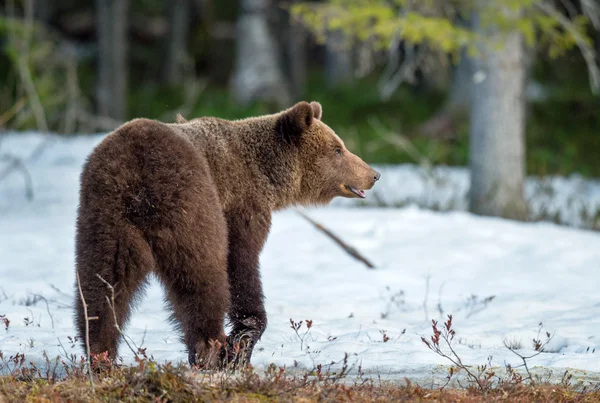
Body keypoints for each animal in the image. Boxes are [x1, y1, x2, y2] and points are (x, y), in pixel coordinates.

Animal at [74, 101, 380, 370]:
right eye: (338, 149)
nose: (374, 174)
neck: (268, 176)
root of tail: (136, 175)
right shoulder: (241, 208)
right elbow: (240, 265)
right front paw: (241, 342)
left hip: (105, 218)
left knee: (103, 284)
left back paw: (100, 354)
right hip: (190, 204)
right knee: (201, 277)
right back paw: (210, 349)